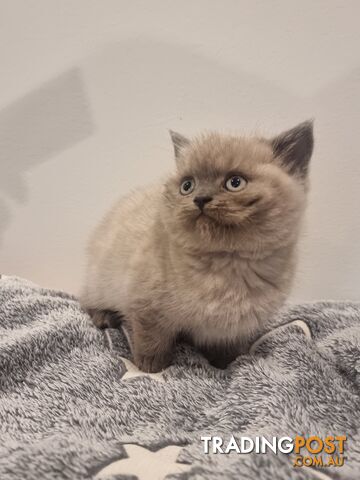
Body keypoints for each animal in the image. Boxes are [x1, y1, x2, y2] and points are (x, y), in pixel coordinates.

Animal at [80, 120, 314, 372]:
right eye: (187, 186)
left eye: (235, 182)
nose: (200, 199)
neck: (227, 265)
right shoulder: (146, 307)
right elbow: (151, 341)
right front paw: (151, 368)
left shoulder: (234, 328)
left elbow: (228, 349)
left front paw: (229, 365)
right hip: (100, 280)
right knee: (87, 300)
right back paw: (104, 317)